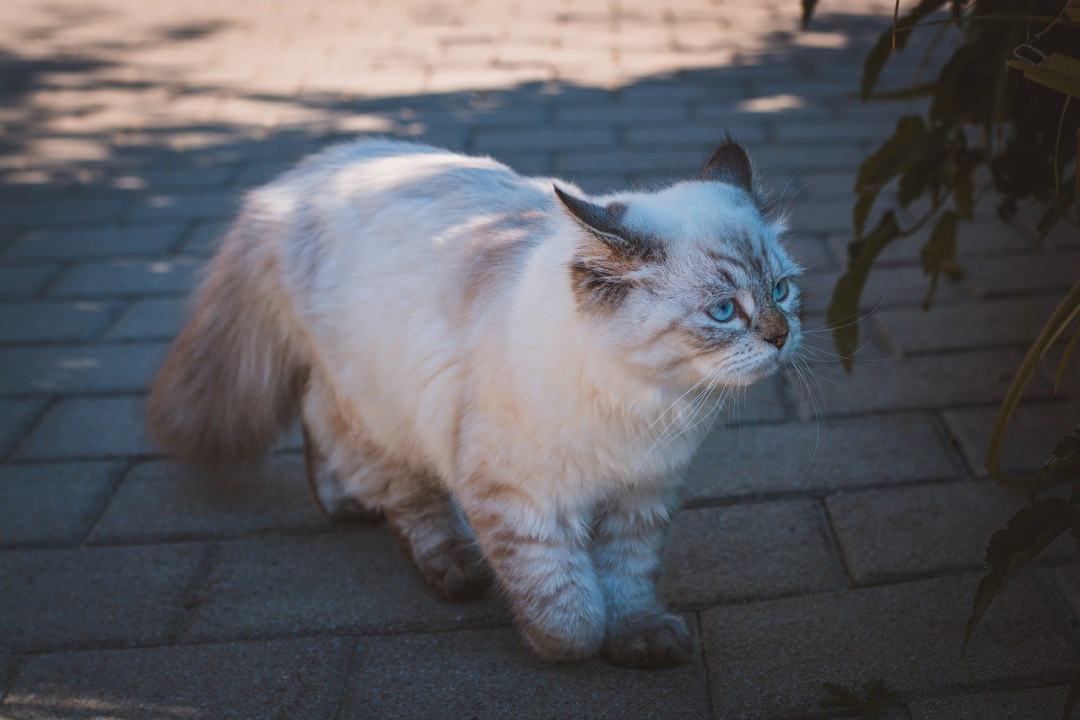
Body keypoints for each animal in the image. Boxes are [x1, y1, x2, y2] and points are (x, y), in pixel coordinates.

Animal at [145, 136, 803, 669]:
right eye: (723, 311)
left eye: (781, 291)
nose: (781, 335)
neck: (645, 399)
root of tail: (299, 177)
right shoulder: (520, 499)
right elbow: (565, 604)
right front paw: (567, 648)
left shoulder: (643, 495)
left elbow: (628, 580)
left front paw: (639, 640)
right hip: (380, 408)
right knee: (396, 487)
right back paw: (449, 564)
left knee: (317, 419)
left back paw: (341, 503)